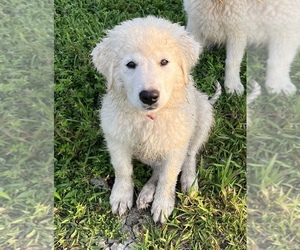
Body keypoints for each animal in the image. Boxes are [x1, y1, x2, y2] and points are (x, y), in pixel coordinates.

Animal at [92, 16, 214, 223]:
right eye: (130, 64)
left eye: (164, 62)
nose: (149, 96)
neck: (149, 119)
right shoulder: (116, 137)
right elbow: (122, 169)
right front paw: (121, 197)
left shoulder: (176, 145)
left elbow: (169, 176)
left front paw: (163, 205)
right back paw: (146, 194)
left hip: (203, 114)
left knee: (190, 155)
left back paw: (188, 181)